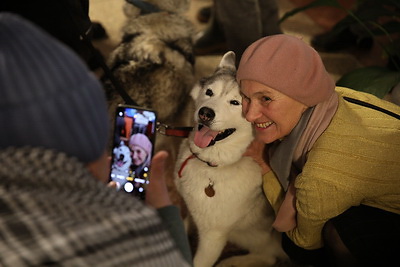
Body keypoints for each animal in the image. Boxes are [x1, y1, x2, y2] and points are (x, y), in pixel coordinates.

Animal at [174, 52, 284, 267]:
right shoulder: (189, 208)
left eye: (235, 103)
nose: (205, 113)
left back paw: (232, 261)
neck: (212, 165)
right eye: (209, 92)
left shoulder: (213, 237)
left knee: (268, 257)